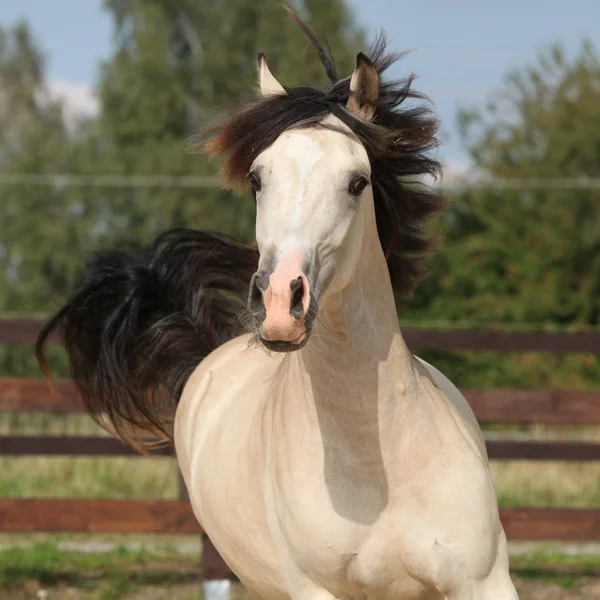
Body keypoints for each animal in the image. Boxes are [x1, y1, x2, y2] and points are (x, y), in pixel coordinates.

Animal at [36, 12, 516, 600]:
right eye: (257, 178)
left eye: (358, 182)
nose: (279, 303)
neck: (379, 469)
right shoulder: (312, 589)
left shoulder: (484, 580)